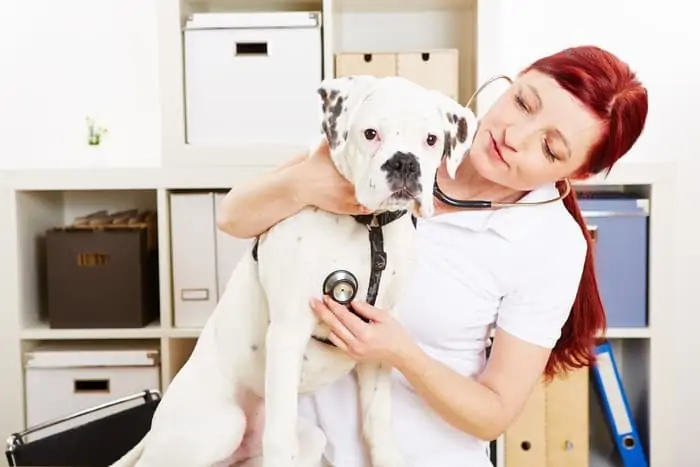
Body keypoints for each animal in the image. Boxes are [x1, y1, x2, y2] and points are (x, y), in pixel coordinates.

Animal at [110, 77, 476, 467]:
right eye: (370, 133)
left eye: (431, 139)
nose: (405, 162)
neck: (368, 226)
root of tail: (153, 433)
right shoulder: (289, 331)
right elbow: (280, 437)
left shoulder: (378, 336)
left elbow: (378, 425)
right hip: (220, 425)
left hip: (309, 439)